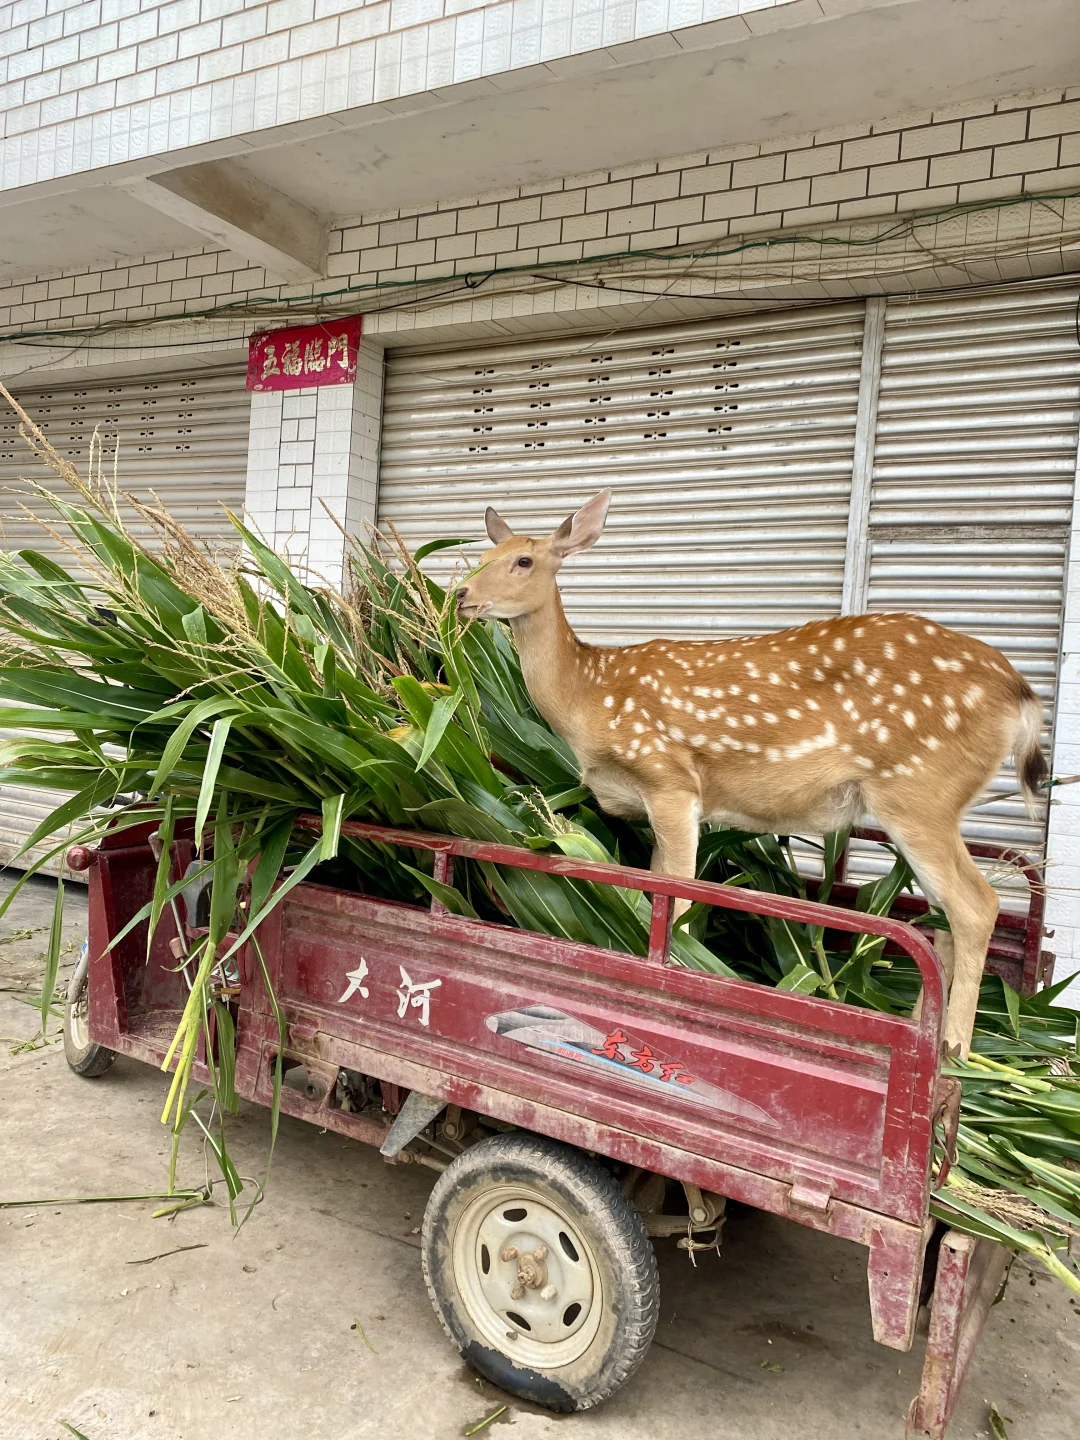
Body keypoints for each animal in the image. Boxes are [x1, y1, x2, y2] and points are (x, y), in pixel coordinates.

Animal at [455, 490, 1049, 1057]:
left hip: (919, 790)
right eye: (481, 556)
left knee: (977, 907)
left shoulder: (670, 777)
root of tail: (1019, 692)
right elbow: (656, 890)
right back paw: (930, 1028)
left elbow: (680, 897)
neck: (590, 696)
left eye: (524, 560)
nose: (460, 594)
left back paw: (954, 1051)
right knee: (943, 921)